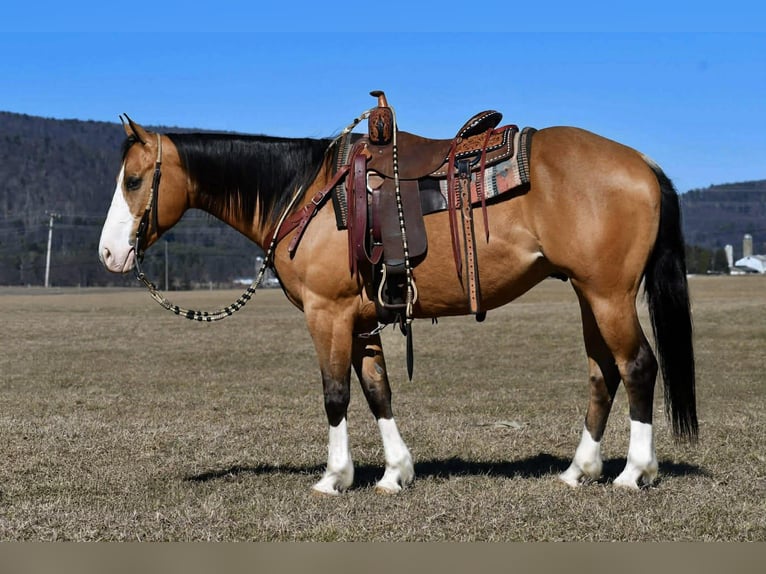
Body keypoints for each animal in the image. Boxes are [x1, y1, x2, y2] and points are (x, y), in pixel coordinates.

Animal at [98, 103, 696, 495]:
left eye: (134, 181)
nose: (108, 253)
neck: (306, 192)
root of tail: (642, 163)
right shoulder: (361, 320)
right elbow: (377, 392)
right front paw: (394, 473)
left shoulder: (328, 312)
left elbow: (336, 394)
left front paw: (334, 478)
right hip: (588, 294)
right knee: (604, 372)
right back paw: (579, 470)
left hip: (609, 295)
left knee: (638, 366)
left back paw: (633, 473)